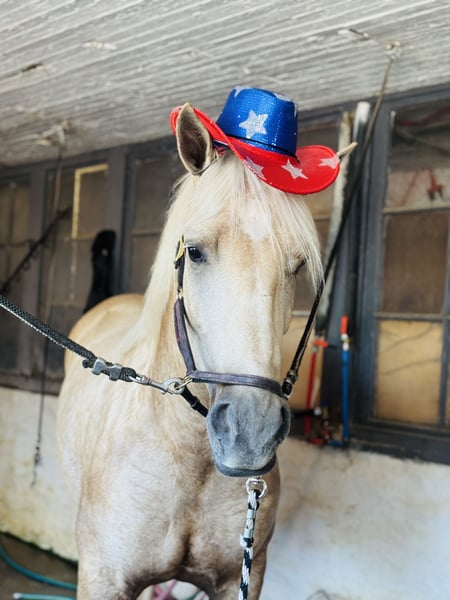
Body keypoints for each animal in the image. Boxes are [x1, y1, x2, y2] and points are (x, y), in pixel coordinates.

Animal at [57, 102, 322, 599]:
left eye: (297, 266)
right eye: (195, 252)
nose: (250, 432)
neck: (190, 460)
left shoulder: (242, 578)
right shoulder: (103, 576)